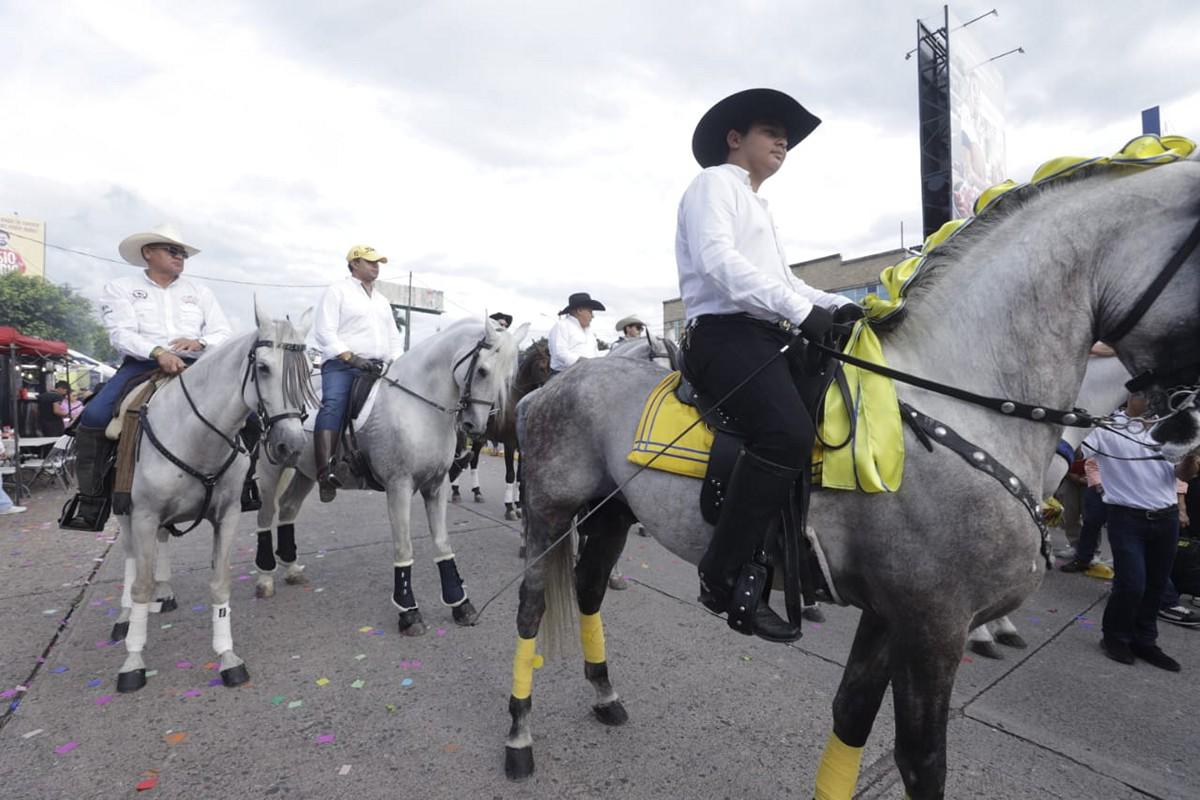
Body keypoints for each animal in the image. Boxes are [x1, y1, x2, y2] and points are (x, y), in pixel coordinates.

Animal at [111, 303, 314, 690]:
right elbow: (141, 586)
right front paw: (132, 661)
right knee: (130, 559)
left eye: (307, 372)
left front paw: (228, 658)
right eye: (263, 368)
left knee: (161, 544)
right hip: (124, 513)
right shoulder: (144, 514)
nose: (293, 446)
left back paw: (165, 591)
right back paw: (124, 616)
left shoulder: (227, 515)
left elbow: (220, 585)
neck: (193, 435)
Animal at [252, 316, 525, 633]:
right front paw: (408, 611)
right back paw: (265, 578)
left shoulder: (436, 486)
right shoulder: (399, 486)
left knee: (288, 507)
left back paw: (292, 568)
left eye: (508, 378)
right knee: (265, 515)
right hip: (271, 468)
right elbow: (404, 548)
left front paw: (460, 603)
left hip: (305, 471)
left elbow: (443, 544)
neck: (419, 406)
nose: (474, 426)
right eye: (482, 371)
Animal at [504, 153, 1200, 796]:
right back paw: (519, 738)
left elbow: (852, 719)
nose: (1182, 429)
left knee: (589, 590)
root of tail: (550, 388)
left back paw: (604, 695)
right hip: (550, 510)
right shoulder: (933, 626)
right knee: (533, 607)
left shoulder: (893, 615)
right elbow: (920, 758)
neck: (959, 410)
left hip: (612, 511)